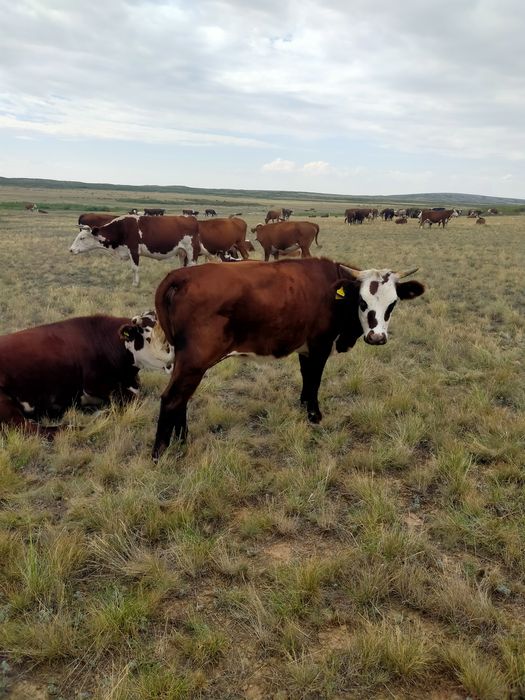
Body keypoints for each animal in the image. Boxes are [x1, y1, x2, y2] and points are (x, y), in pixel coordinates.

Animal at [69, 215, 200, 286]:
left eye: (82, 238)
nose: (71, 250)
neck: (121, 229)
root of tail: (191, 218)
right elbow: (133, 268)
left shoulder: (134, 251)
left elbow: (135, 268)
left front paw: (135, 283)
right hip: (182, 252)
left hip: (191, 251)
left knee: (192, 265)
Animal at [151, 258, 425, 460]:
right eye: (362, 301)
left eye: (393, 303)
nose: (376, 337)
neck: (332, 291)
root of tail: (182, 275)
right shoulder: (319, 346)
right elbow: (314, 380)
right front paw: (314, 415)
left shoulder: (305, 349)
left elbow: (306, 378)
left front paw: (304, 406)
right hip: (195, 361)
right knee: (172, 399)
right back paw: (160, 453)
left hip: (187, 362)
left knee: (182, 399)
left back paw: (182, 440)